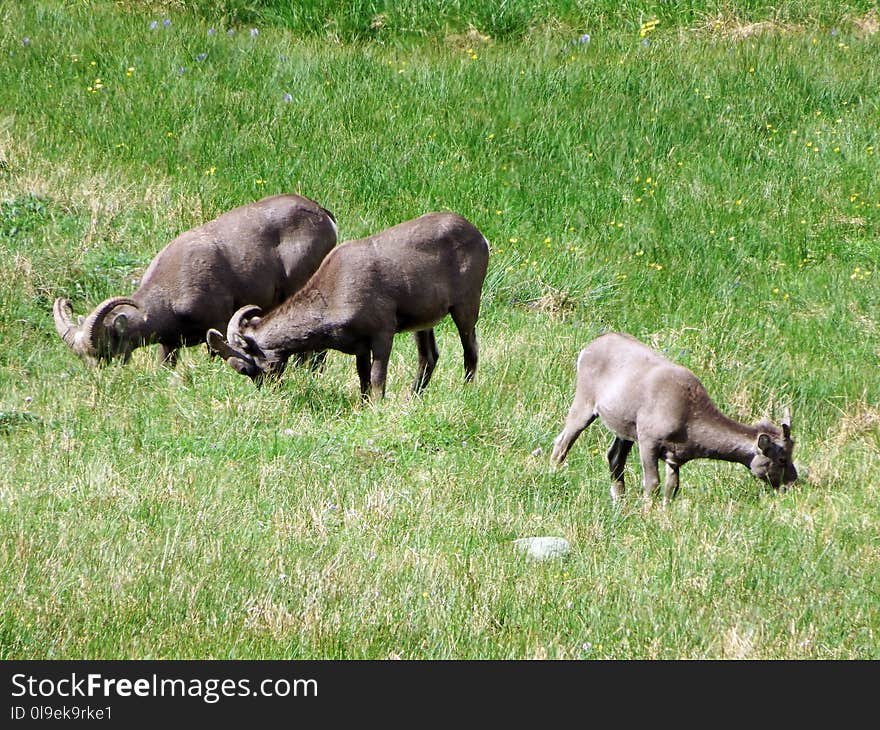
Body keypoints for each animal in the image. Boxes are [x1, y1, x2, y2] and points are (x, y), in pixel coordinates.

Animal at [210, 210, 492, 400]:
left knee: (470, 351)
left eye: (248, 367)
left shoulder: (382, 335)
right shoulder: (360, 349)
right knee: (429, 357)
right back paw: (412, 398)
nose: (270, 393)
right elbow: (363, 380)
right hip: (423, 325)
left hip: (465, 308)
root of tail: (480, 237)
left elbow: (377, 379)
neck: (334, 295)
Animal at [552, 332, 796, 504]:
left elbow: (672, 488)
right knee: (562, 443)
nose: (792, 483)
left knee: (614, 458)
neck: (689, 417)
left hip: (625, 431)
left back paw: (619, 500)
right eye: (782, 458)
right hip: (584, 404)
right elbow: (652, 484)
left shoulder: (673, 458)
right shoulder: (648, 441)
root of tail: (587, 349)